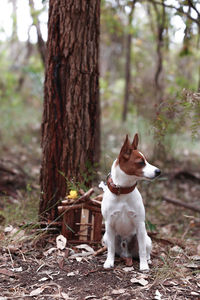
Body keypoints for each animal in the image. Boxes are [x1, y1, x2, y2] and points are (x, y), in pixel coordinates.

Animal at [100, 135, 161, 270]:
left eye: (146, 160)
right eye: (141, 162)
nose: (159, 171)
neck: (122, 191)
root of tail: (126, 253)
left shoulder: (140, 224)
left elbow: (142, 250)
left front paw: (143, 266)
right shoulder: (109, 225)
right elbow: (111, 249)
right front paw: (109, 262)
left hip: (146, 238)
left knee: (145, 251)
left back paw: (147, 260)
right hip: (106, 236)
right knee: (113, 249)